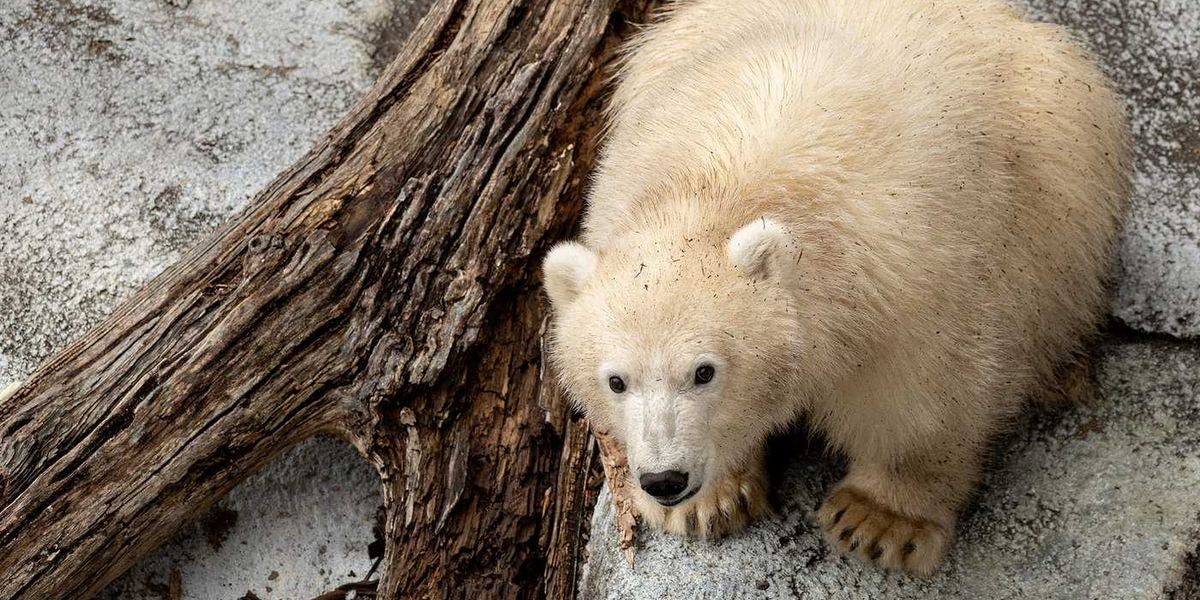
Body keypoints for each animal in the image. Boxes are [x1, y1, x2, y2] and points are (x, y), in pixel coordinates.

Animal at [542, 0, 1129, 576]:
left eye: (704, 371)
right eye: (616, 381)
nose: (664, 481)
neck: (722, 189)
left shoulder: (914, 268)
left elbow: (929, 391)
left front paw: (881, 521)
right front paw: (711, 502)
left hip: (1062, 159)